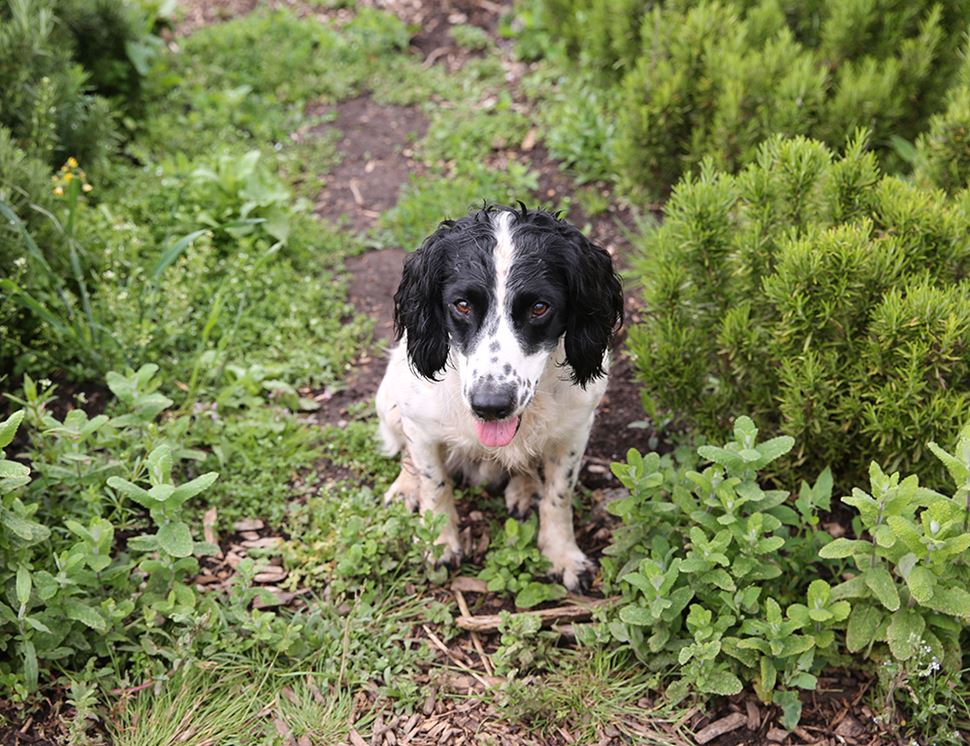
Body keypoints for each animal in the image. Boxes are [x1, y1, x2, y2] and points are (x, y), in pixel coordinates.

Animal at [374, 202, 624, 588]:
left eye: (539, 307)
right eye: (462, 305)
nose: (490, 406)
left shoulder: (575, 429)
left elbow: (559, 495)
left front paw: (562, 555)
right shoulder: (419, 423)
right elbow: (434, 485)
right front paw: (439, 544)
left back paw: (525, 487)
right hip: (388, 398)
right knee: (405, 453)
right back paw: (405, 487)